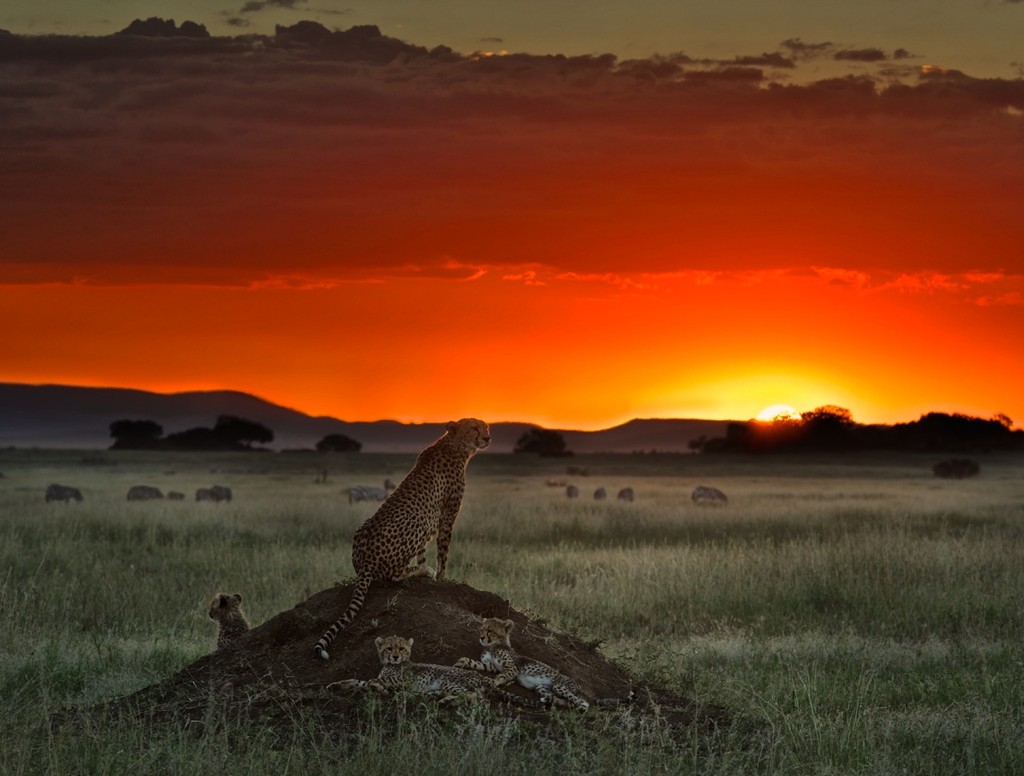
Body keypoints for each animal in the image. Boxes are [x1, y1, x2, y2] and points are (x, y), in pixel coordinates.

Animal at [314, 418, 491, 661]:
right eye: (474, 428)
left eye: (486, 426)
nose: (487, 437)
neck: (454, 446)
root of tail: (365, 561)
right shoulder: (446, 516)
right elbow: (443, 553)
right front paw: (441, 577)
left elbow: (423, 552)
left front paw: (426, 570)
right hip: (418, 520)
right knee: (394, 575)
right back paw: (423, 571)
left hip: (367, 527)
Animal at [327, 635, 546, 708]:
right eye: (389, 648)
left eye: (401, 649)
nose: (395, 657)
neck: (393, 665)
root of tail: (481, 676)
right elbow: (357, 681)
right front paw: (335, 685)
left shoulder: (404, 681)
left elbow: (381, 683)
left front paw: (378, 687)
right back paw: (439, 697)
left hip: (448, 680)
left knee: (476, 697)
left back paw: (448, 701)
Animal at [456, 618, 633, 712]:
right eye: (481, 629)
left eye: (490, 631)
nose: (481, 637)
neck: (494, 646)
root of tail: (582, 687)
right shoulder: (490, 666)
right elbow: (475, 663)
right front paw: (460, 662)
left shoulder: (511, 668)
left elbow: (500, 675)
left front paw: (493, 682)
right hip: (542, 688)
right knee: (560, 699)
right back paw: (550, 703)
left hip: (560, 685)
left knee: (582, 701)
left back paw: (581, 707)